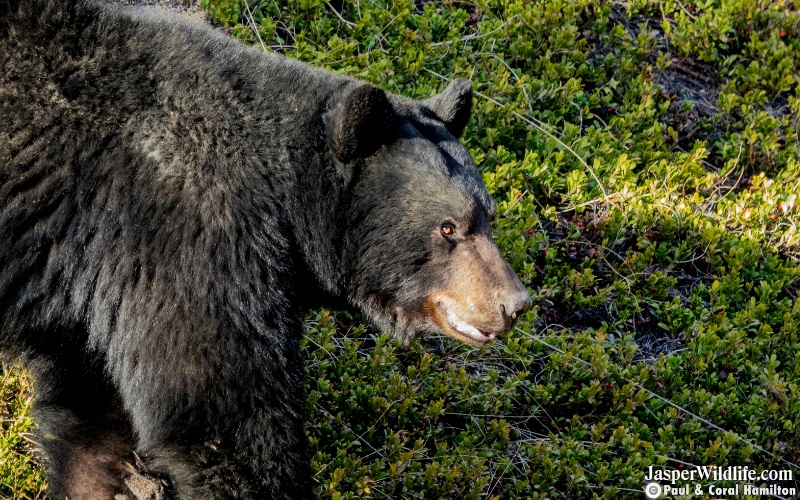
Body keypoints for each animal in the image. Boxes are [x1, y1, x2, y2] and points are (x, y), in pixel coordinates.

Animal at [0, 0, 532, 498]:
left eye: (489, 215)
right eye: (448, 228)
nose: (514, 304)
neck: (284, 193)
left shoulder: (92, 308)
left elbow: (98, 428)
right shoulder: (188, 238)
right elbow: (223, 415)